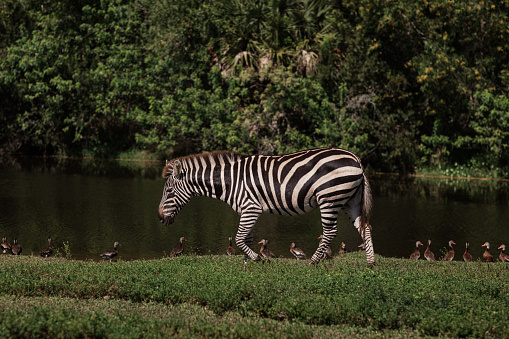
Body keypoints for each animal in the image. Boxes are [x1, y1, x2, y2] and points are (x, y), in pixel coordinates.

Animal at [157, 148, 376, 266]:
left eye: (169, 192)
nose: (159, 218)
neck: (231, 181)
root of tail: (356, 159)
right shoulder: (248, 210)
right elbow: (247, 238)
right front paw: (247, 264)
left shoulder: (250, 207)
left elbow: (239, 238)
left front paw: (257, 259)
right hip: (350, 200)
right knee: (365, 227)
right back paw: (371, 263)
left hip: (329, 198)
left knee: (330, 231)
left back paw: (313, 261)